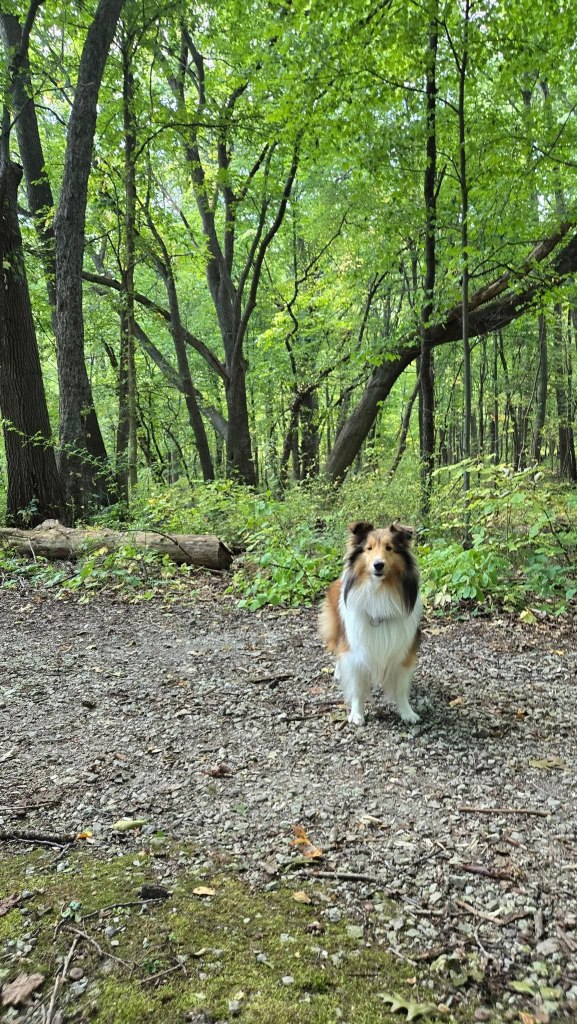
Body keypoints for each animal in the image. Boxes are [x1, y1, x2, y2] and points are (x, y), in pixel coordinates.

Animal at [320, 521, 422, 726]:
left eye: (389, 548)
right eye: (369, 548)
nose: (378, 564)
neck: (379, 592)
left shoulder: (403, 652)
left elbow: (400, 689)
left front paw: (407, 712)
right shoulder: (355, 653)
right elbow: (357, 688)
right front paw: (357, 714)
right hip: (337, 631)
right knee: (337, 650)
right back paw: (338, 672)